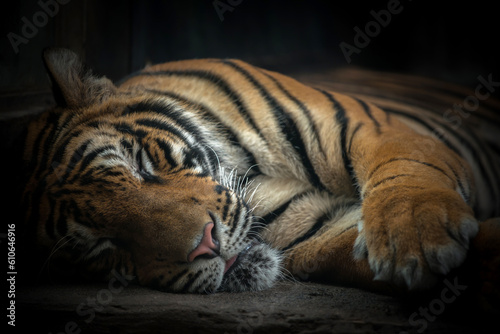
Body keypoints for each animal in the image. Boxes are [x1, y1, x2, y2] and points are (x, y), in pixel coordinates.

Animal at [21, 48, 500, 294]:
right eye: (100, 245)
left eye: (141, 164)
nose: (205, 247)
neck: (252, 176)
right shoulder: (320, 230)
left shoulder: (363, 124)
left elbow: (406, 168)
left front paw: (414, 239)